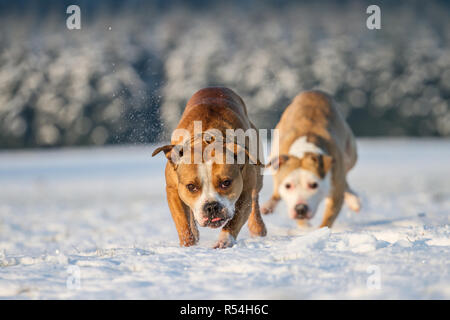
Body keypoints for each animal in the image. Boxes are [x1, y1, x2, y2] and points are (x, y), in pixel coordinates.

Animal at [153, 87, 268, 248]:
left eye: (226, 183)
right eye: (191, 187)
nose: (211, 207)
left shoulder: (245, 191)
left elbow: (235, 220)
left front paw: (224, 241)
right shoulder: (173, 190)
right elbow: (183, 222)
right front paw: (188, 245)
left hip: (257, 177)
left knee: (255, 199)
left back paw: (258, 227)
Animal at [262, 90, 360, 228]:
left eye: (314, 185)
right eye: (288, 185)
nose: (300, 209)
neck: (304, 150)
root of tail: (314, 91)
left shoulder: (335, 193)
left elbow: (327, 219)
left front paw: (320, 231)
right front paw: (305, 228)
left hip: (350, 155)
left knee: (345, 176)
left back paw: (354, 200)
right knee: (276, 189)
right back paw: (268, 205)